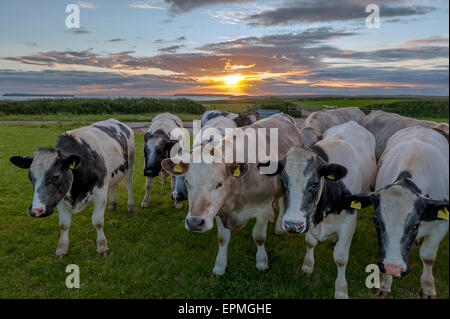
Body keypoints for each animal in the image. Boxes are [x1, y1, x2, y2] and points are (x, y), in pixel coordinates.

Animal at [9, 119, 134, 258]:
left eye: (56, 176)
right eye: (30, 177)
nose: (36, 211)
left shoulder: (100, 193)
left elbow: (97, 221)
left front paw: (102, 246)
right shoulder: (59, 197)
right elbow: (64, 225)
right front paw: (61, 249)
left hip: (130, 166)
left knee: (129, 185)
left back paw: (130, 206)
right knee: (113, 186)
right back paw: (112, 205)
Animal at [160, 114, 300, 276]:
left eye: (219, 183)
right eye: (188, 181)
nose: (195, 222)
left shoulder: (263, 208)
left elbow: (259, 237)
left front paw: (261, 262)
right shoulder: (219, 209)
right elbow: (222, 238)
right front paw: (220, 266)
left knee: (283, 204)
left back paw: (278, 227)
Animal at [268, 122, 378, 300]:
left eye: (314, 183)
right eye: (283, 181)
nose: (292, 224)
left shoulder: (348, 222)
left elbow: (340, 258)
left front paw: (341, 289)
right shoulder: (308, 218)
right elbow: (310, 242)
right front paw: (307, 267)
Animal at [342, 125, 448, 300]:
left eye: (415, 225)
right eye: (376, 221)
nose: (394, 268)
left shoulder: (442, 225)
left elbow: (428, 256)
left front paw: (428, 288)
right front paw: (385, 284)